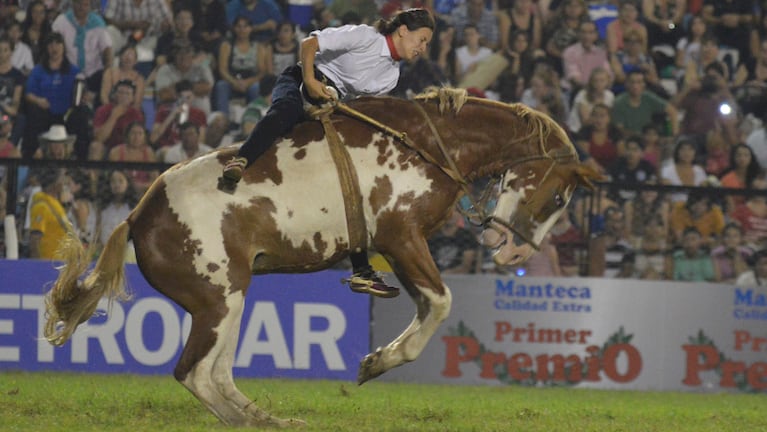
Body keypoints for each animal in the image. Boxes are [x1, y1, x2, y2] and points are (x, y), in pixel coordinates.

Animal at [45, 87, 604, 426]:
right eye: (557, 198)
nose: (515, 251)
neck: (429, 143)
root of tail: (139, 216)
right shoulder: (400, 237)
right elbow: (440, 302)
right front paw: (379, 361)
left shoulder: (396, 246)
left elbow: (429, 303)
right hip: (217, 298)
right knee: (196, 372)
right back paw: (252, 421)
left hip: (230, 299)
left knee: (217, 372)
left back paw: (267, 420)